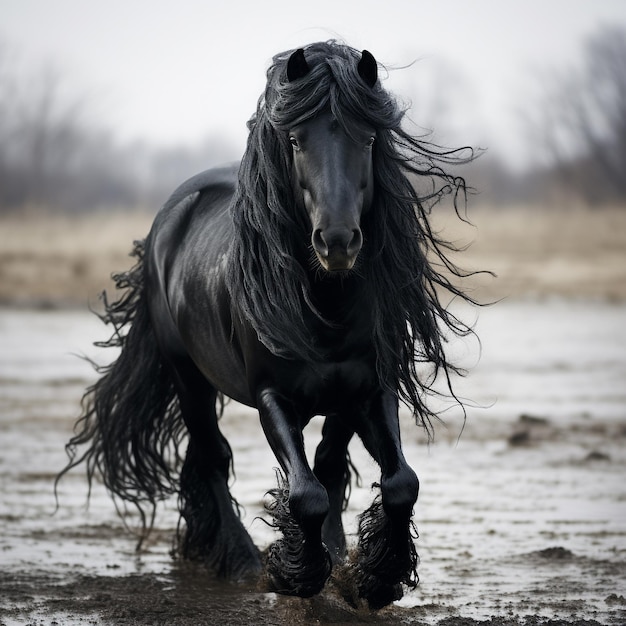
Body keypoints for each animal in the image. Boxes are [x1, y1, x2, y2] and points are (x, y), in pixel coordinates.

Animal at [61, 41, 476, 608]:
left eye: (368, 138)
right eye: (296, 140)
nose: (338, 241)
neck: (327, 306)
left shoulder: (369, 388)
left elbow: (395, 482)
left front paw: (372, 576)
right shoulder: (271, 396)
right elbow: (304, 494)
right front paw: (294, 573)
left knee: (325, 462)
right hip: (188, 377)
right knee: (212, 457)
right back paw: (237, 560)